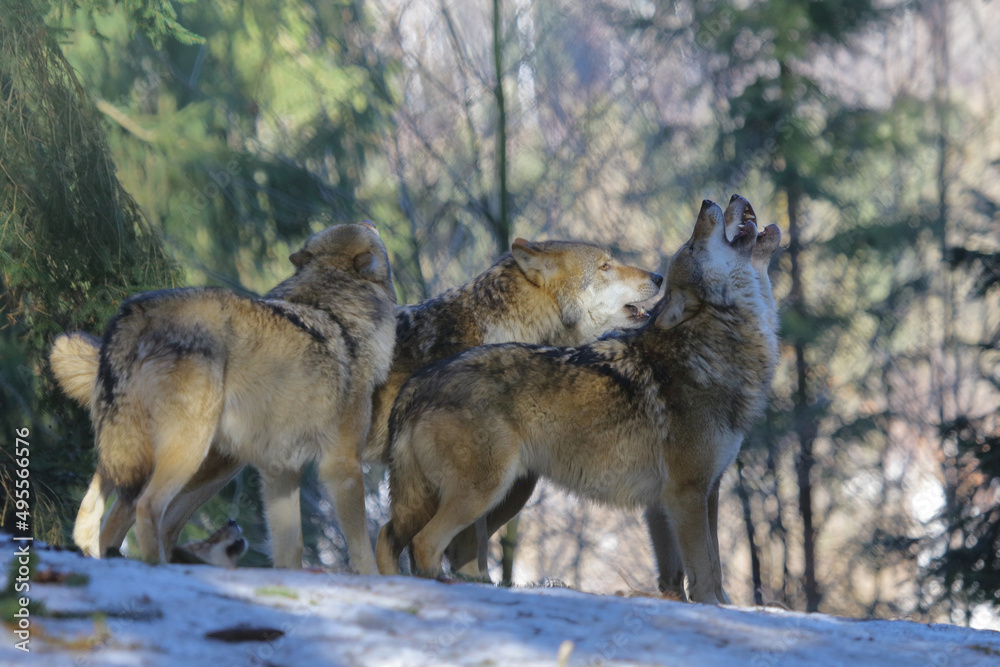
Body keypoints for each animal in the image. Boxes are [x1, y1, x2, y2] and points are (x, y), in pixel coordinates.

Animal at [49, 221, 396, 573]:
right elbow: (361, 546)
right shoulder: (342, 465)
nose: (371, 222)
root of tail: (139, 311)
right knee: (144, 507)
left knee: (96, 510)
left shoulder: (281, 471)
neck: (335, 309)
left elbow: (290, 549)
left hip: (135, 451)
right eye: (365, 230)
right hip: (191, 453)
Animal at [376, 196, 780, 603]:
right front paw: (715, 608)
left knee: (391, 536)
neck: (710, 349)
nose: (711, 201)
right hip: (485, 493)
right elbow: (707, 573)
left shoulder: (693, 496)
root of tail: (419, 384)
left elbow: (691, 575)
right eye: (693, 246)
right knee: (426, 544)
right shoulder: (688, 493)